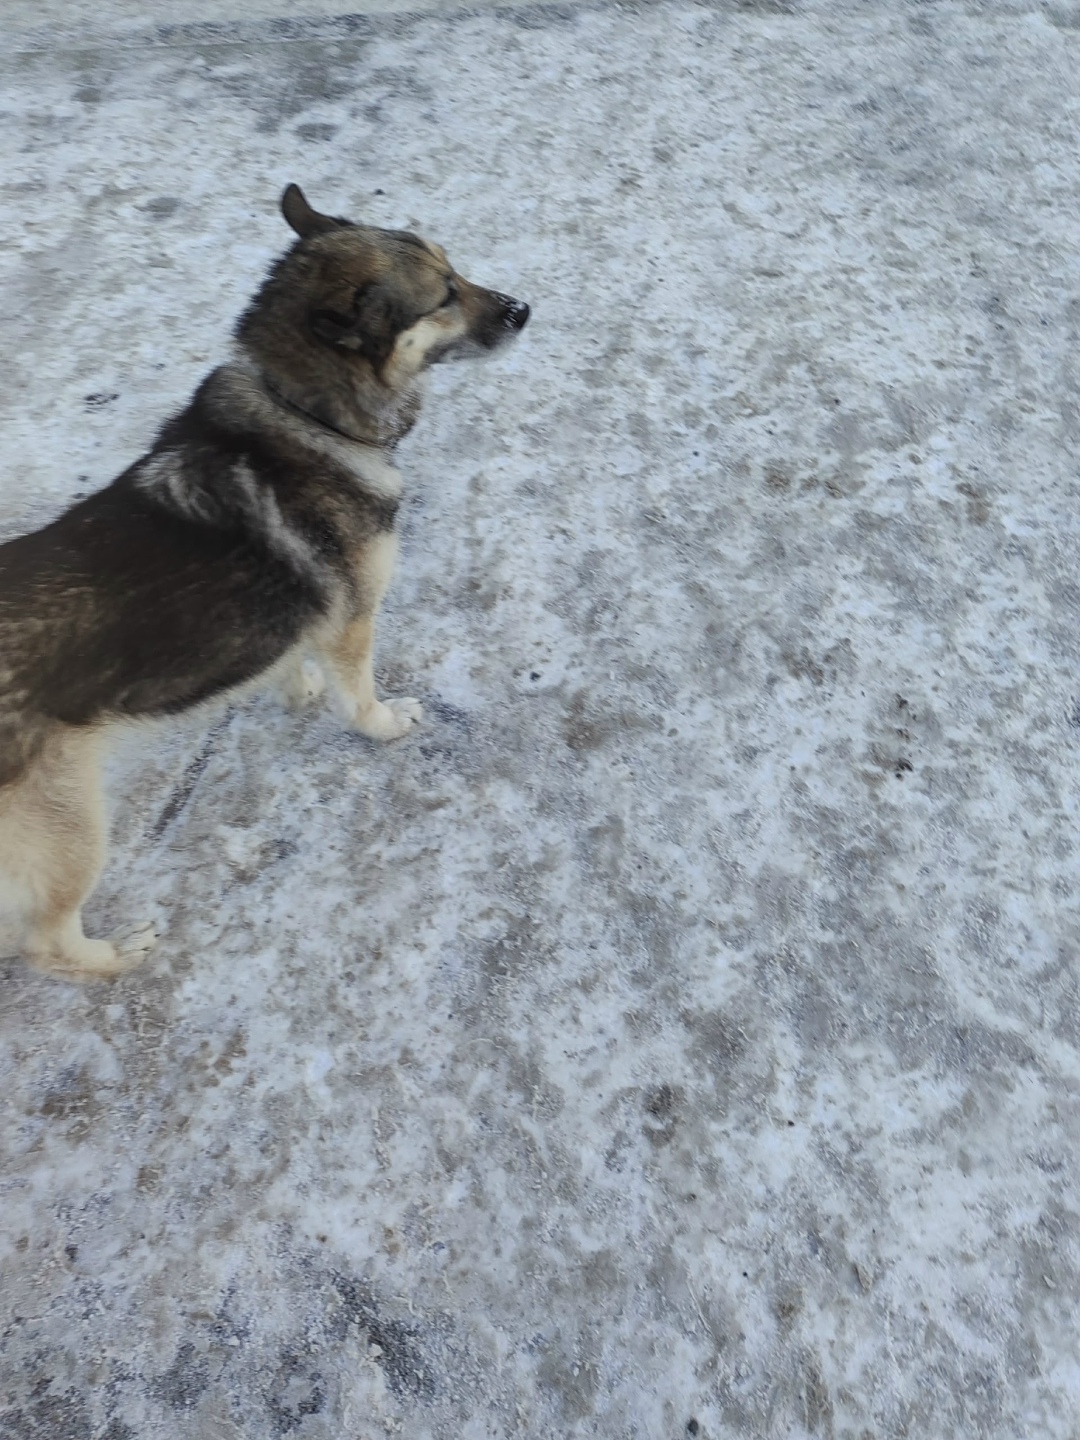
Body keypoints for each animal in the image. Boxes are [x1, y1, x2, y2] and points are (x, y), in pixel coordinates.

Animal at [0, 184, 529, 980]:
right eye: (443, 295)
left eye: (454, 267)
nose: (523, 309)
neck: (300, 407)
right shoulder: (354, 620)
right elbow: (359, 696)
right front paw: (382, 723)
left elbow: (290, 657)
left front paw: (294, 685)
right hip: (71, 828)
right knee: (44, 943)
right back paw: (117, 954)